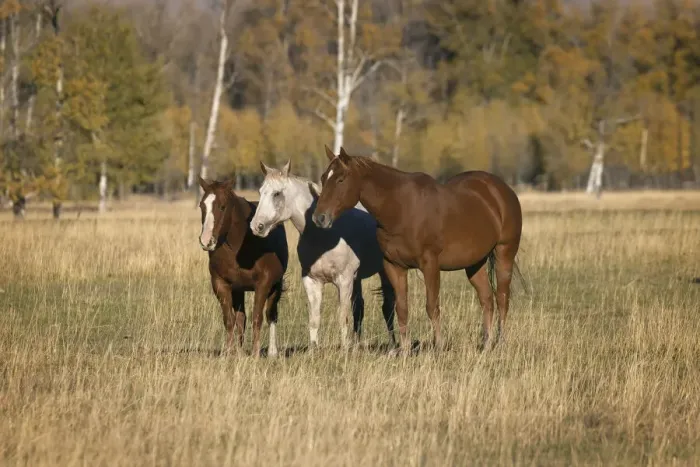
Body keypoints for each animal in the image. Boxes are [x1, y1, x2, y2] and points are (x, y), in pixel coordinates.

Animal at [198, 176, 288, 357]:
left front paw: (255, 353)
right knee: (241, 318)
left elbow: (258, 318)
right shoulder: (221, 284)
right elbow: (230, 320)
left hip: (275, 286)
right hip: (239, 289)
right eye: (201, 206)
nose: (206, 241)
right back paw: (239, 351)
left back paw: (272, 352)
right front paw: (228, 353)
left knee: (271, 314)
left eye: (222, 206)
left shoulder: (264, 284)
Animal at [249, 160, 396, 350]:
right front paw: (314, 350)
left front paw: (345, 350)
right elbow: (314, 319)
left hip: (383, 272)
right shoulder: (312, 280)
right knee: (359, 309)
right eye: (260, 192)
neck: (324, 236)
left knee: (388, 307)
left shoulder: (344, 281)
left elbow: (342, 318)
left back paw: (392, 346)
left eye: (277, 193)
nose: (256, 226)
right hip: (356, 280)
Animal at [312, 146, 523, 354]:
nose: (319, 218)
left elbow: (432, 306)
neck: (401, 209)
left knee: (502, 298)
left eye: (340, 179)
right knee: (487, 299)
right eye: (323, 178)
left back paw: (501, 344)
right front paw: (405, 352)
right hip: (474, 263)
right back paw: (487, 346)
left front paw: (439, 347)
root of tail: (501, 190)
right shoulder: (394, 266)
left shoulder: (430, 265)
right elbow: (401, 309)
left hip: (504, 253)